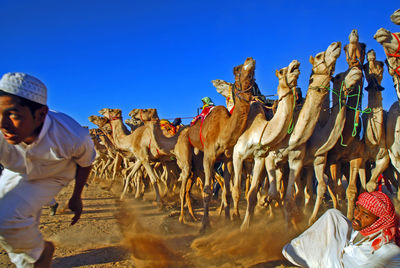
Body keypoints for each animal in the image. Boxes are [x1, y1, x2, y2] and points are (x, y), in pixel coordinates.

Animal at [187, 57, 253, 231]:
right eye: (236, 69)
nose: (250, 60)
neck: (222, 130)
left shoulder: (227, 159)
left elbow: (228, 191)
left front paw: (230, 219)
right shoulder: (208, 157)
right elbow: (207, 191)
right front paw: (205, 225)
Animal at [231, 59, 300, 222]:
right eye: (281, 71)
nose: (295, 64)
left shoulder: (259, 157)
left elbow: (252, 194)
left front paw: (247, 222)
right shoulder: (237, 154)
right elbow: (236, 189)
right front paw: (235, 217)